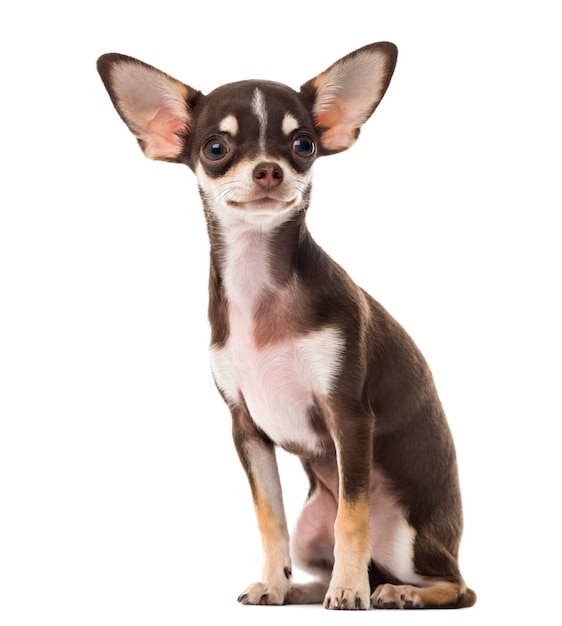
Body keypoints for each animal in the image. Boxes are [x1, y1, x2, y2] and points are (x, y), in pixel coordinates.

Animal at [97, 41, 472, 608]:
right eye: (215, 148)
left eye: (303, 145)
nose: (270, 170)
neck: (260, 287)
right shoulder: (247, 429)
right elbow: (268, 515)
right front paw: (275, 583)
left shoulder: (348, 417)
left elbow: (352, 519)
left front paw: (348, 591)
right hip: (310, 526)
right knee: (322, 551)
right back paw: (303, 589)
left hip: (405, 537)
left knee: (455, 583)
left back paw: (395, 592)